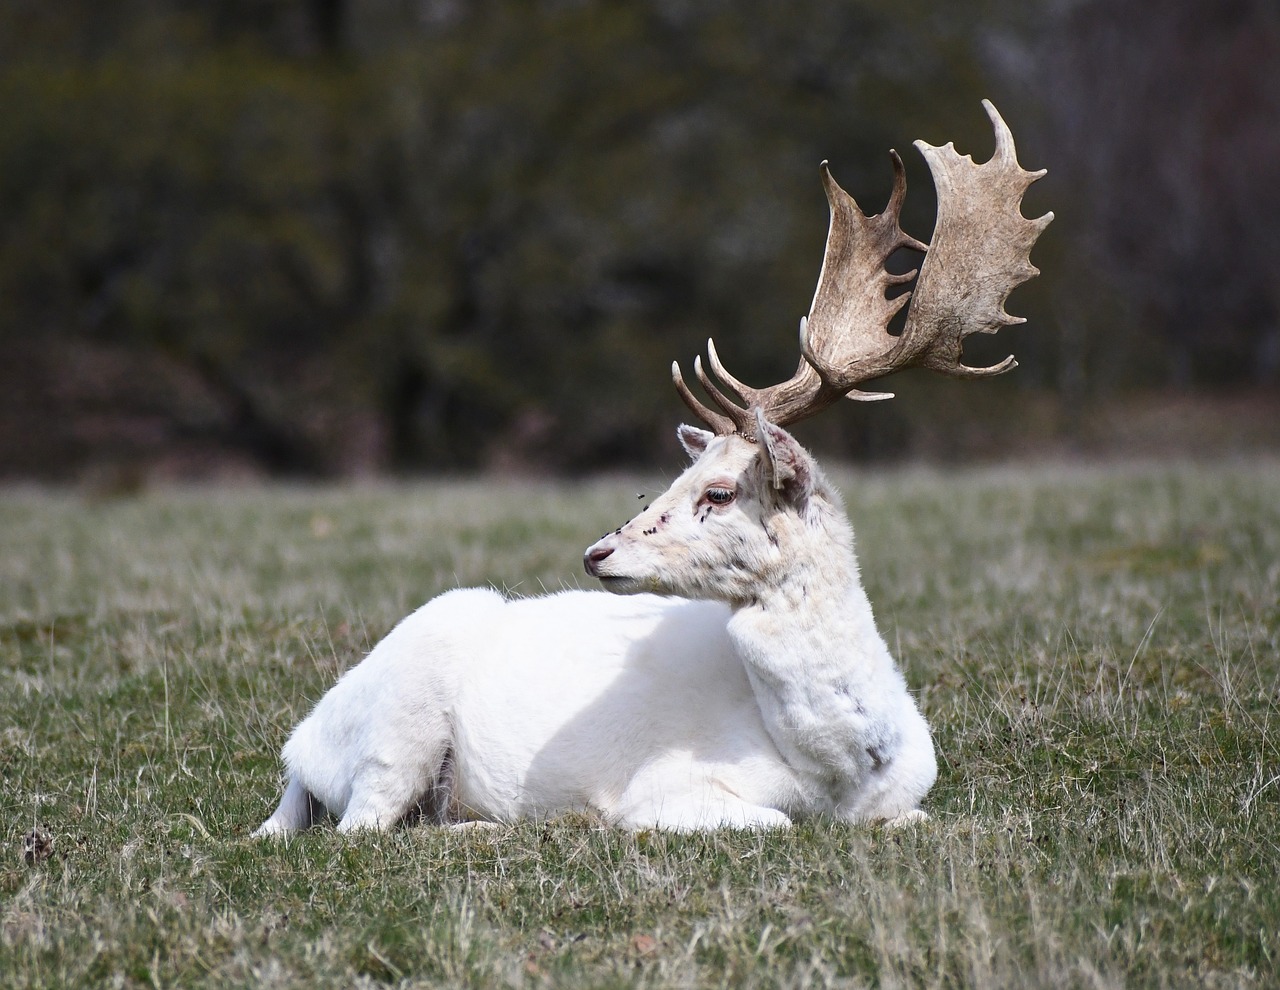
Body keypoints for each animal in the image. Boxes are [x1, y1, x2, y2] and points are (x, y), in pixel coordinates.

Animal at [252, 104, 1049, 835]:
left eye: (719, 492)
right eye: (669, 482)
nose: (598, 551)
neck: (840, 775)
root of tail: (302, 745)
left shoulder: (912, 791)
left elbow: (912, 817)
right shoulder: (665, 790)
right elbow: (769, 819)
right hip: (398, 727)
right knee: (361, 830)